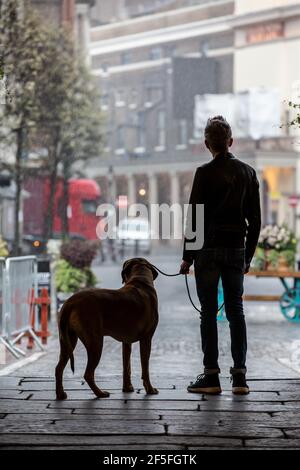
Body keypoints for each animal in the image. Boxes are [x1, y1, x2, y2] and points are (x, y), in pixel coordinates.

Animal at [56, 258, 159, 400]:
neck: (140, 280)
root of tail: (70, 302)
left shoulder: (126, 342)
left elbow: (126, 367)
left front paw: (127, 388)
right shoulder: (146, 339)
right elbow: (145, 368)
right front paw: (150, 389)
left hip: (67, 339)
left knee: (59, 368)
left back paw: (60, 394)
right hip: (95, 342)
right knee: (88, 373)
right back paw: (100, 393)